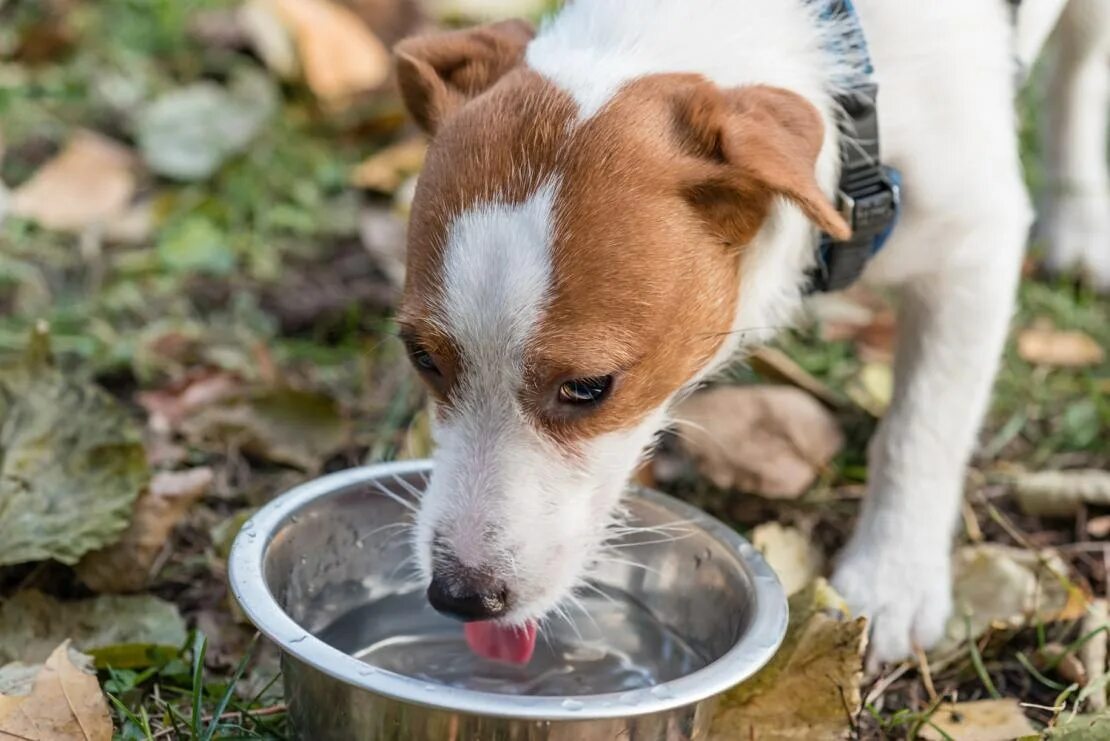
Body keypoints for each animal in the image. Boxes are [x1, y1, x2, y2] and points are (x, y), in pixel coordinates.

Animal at [390, 0, 1110, 665]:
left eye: (590, 387)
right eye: (420, 356)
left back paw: (1079, 217)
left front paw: (892, 578)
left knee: (1079, 65)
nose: (459, 596)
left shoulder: (974, 250)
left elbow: (921, 431)